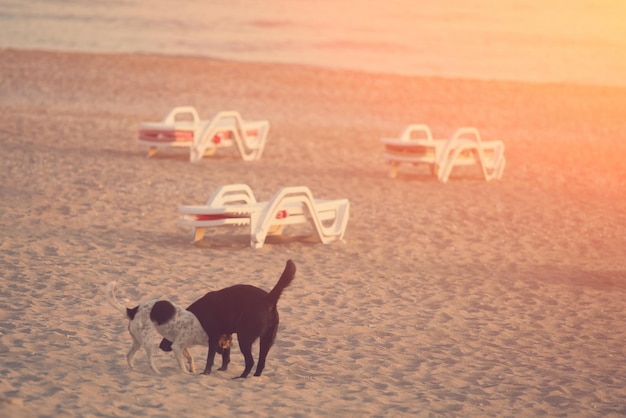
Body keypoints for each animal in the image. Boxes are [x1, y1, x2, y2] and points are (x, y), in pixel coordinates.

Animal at [158, 260, 294, 378]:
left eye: (168, 332)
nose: (160, 346)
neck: (197, 315)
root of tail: (269, 299)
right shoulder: (226, 335)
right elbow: (225, 355)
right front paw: (223, 368)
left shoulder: (213, 337)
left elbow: (210, 358)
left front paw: (206, 372)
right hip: (266, 341)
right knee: (261, 362)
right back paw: (254, 377)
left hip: (244, 338)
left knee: (250, 361)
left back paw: (241, 377)